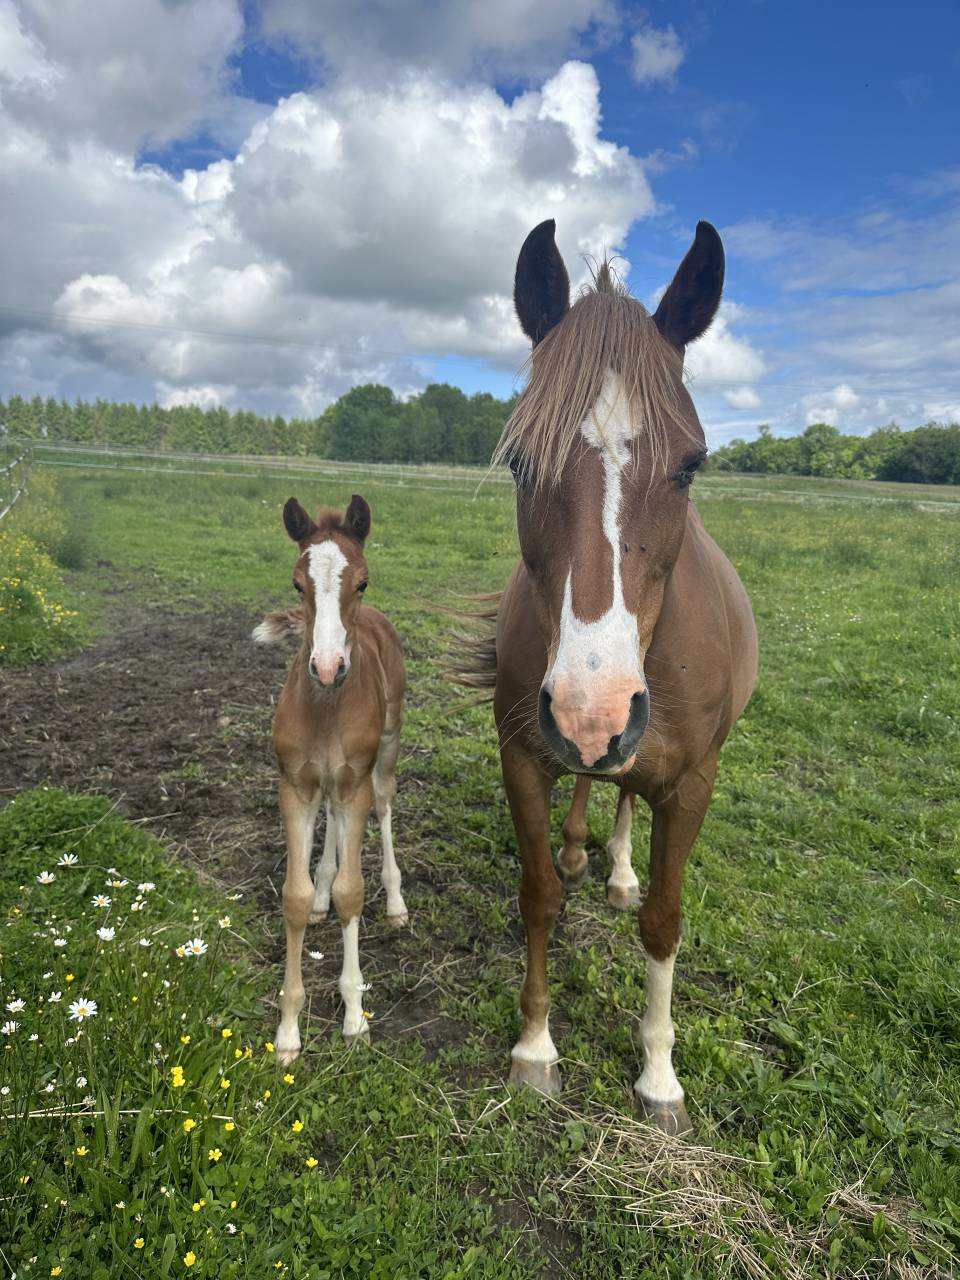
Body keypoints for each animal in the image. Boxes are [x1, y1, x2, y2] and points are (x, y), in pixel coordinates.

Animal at [253, 494, 407, 1064]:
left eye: (362, 581)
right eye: (298, 584)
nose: (326, 667)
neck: (324, 707)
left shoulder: (355, 783)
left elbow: (352, 892)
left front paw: (354, 1016)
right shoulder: (294, 787)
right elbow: (294, 898)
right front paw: (287, 1032)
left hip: (383, 756)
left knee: (382, 809)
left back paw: (396, 901)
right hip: (327, 786)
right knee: (333, 825)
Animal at [464, 219, 758, 1135]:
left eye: (692, 464)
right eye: (520, 463)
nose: (593, 713)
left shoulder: (693, 783)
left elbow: (665, 923)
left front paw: (660, 1078)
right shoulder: (523, 760)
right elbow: (537, 897)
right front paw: (534, 1049)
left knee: (625, 798)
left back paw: (621, 869)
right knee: (598, 793)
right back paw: (580, 847)